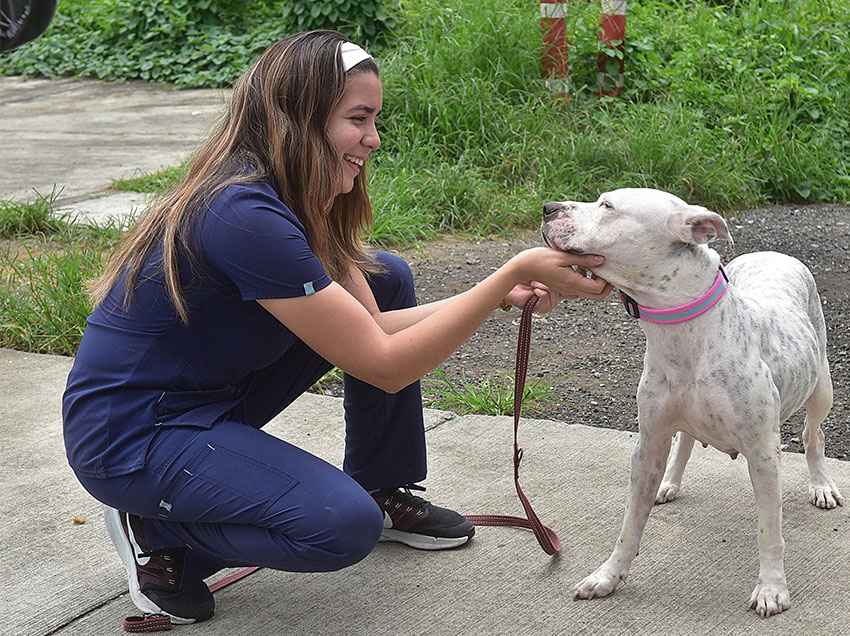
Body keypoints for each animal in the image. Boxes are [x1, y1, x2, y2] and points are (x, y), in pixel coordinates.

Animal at [544, 188, 840, 616]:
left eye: (608, 206)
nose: (547, 208)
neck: (682, 332)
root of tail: (775, 253)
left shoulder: (763, 454)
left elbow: (769, 528)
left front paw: (772, 587)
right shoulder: (648, 444)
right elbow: (629, 525)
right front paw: (608, 576)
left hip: (821, 388)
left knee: (813, 436)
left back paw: (821, 484)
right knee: (684, 439)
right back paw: (669, 482)